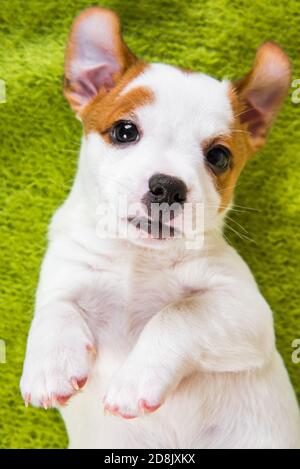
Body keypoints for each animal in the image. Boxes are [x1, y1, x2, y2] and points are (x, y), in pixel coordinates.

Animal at [19, 6, 298, 446]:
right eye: (124, 131)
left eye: (219, 157)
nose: (167, 186)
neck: (137, 257)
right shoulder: (65, 275)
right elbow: (54, 309)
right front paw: (49, 365)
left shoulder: (244, 310)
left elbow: (178, 313)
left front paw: (134, 380)